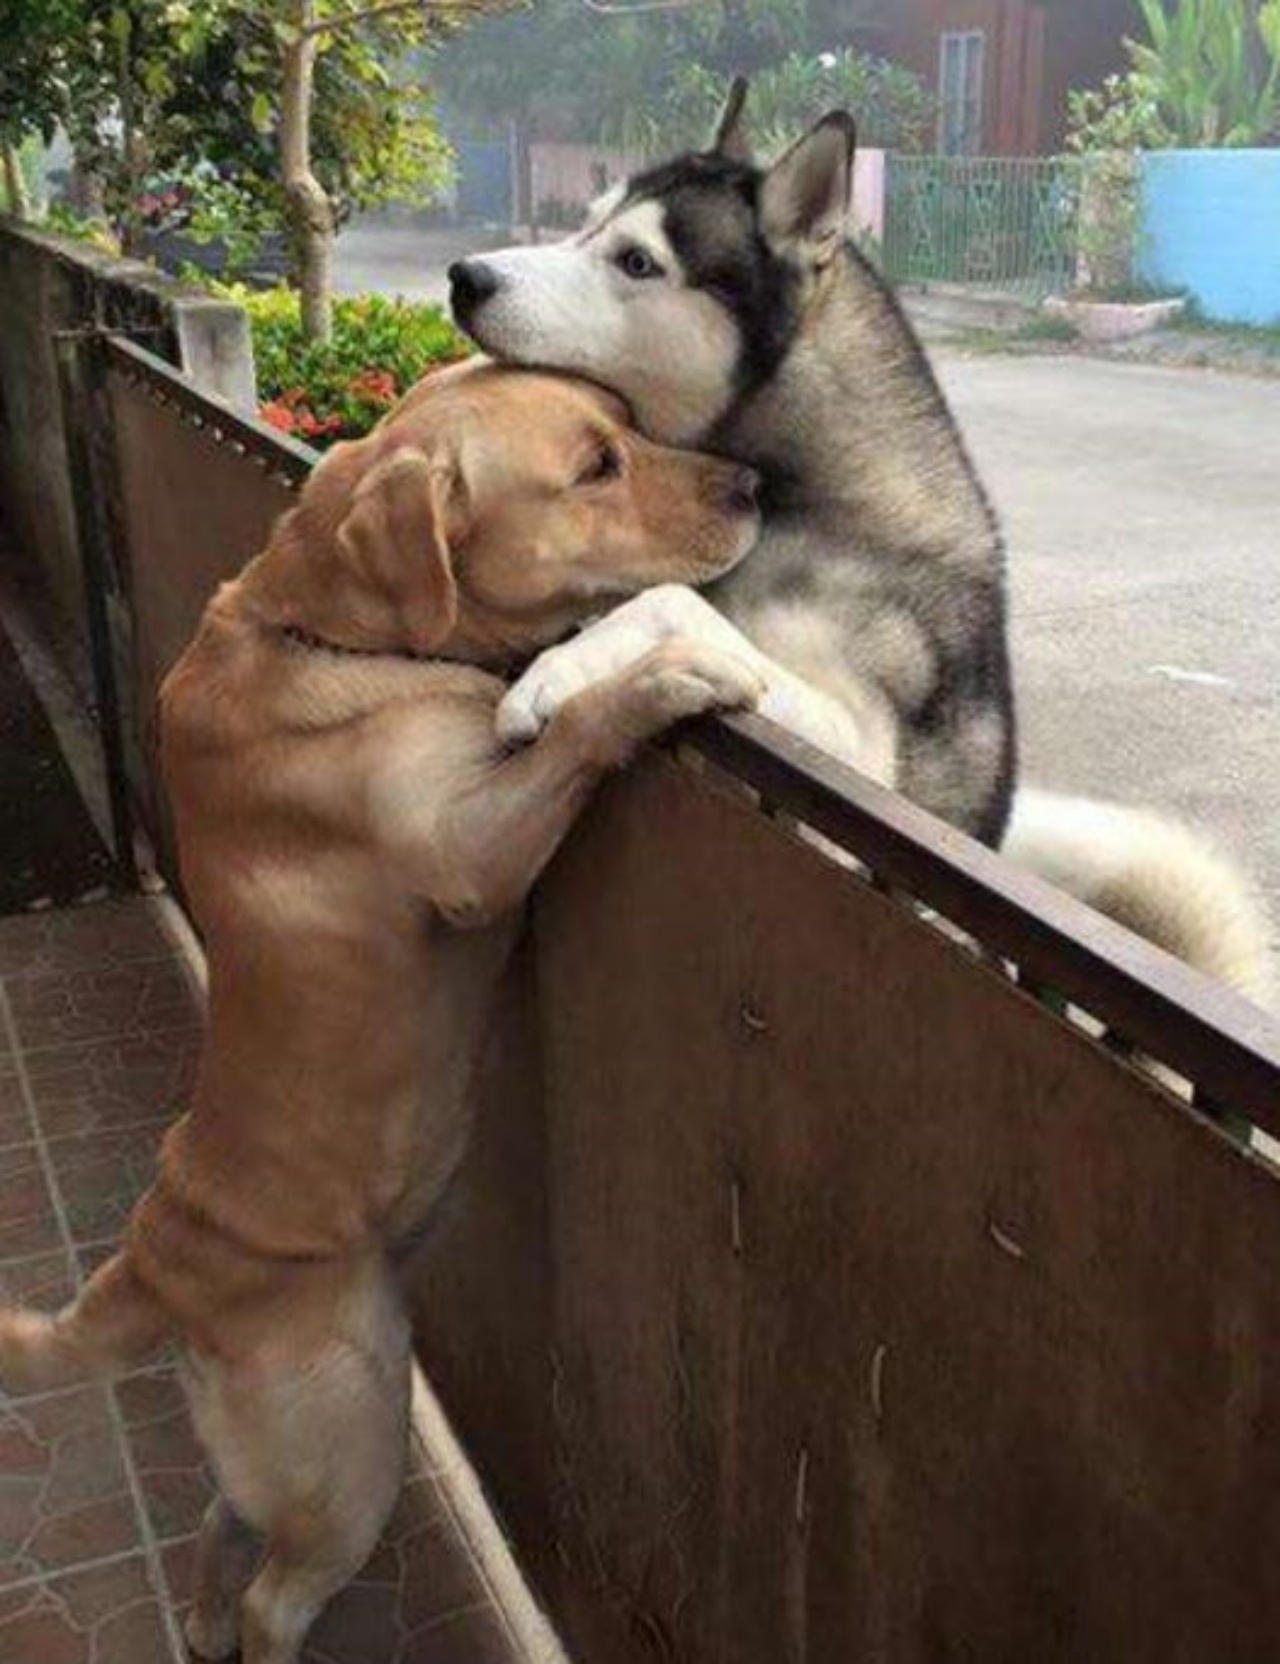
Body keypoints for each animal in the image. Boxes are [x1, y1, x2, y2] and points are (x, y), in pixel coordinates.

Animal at [0, 364, 765, 1664]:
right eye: (595, 465)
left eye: (624, 422)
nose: (755, 484)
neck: (337, 628)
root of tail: (156, 1260)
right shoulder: (469, 850)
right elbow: (574, 724)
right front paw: (660, 678)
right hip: (354, 1434)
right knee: (277, 1592)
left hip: (291, 1452)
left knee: (221, 1522)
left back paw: (197, 1617)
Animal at [446, 84, 1265, 998]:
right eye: (586, 223)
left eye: (636, 262)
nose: (464, 277)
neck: (814, 501)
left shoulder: (858, 758)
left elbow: (674, 602)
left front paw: (552, 675)